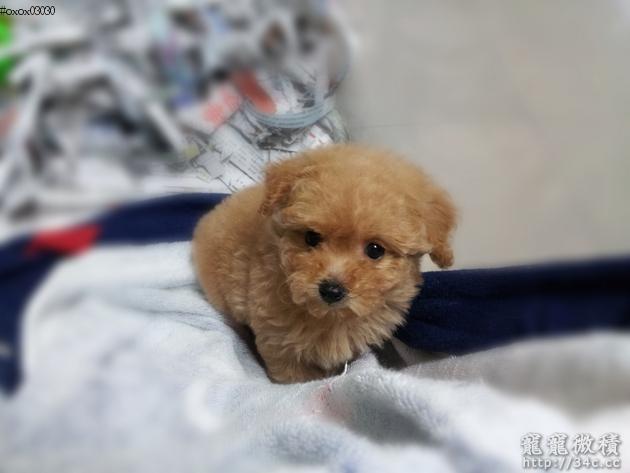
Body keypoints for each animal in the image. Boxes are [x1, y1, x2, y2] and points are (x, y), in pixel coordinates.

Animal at [192, 144, 456, 383]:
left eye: (375, 250)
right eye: (311, 237)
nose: (331, 290)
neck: (331, 318)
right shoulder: (279, 344)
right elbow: (294, 378)